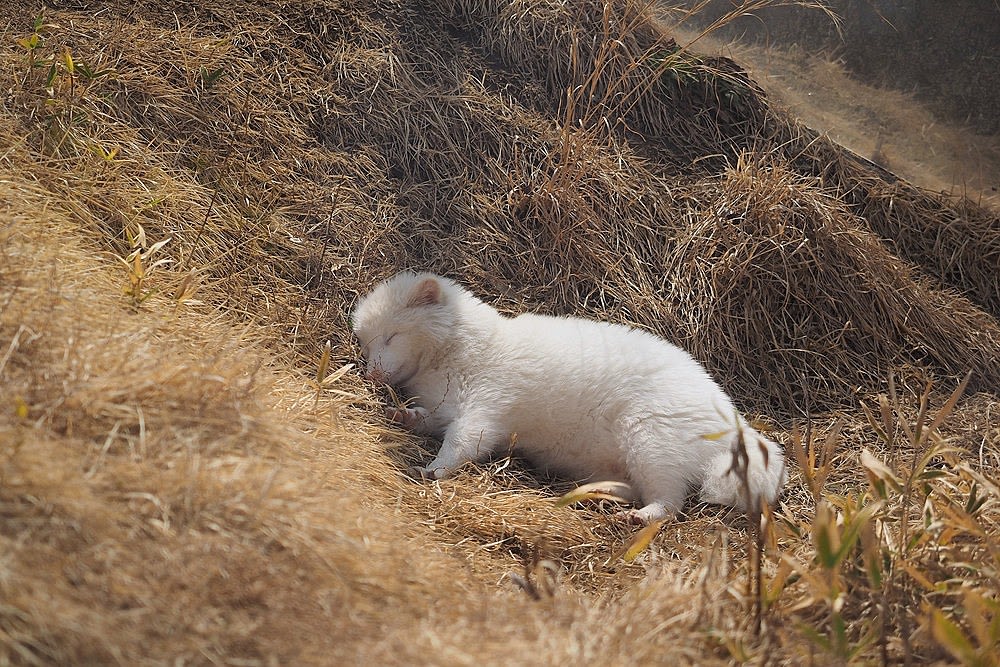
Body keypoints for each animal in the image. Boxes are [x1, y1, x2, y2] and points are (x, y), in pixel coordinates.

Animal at [348, 270, 784, 520]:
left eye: (392, 336)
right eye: (366, 342)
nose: (371, 374)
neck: (465, 349)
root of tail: (734, 423)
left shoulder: (489, 403)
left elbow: (463, 441)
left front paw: (433, 469)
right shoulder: (446, 404)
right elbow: (430, 419)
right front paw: (402, 414)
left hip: (651, 439)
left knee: (670, 501)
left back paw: (641, 515)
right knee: (632, 486)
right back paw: (597, 495)